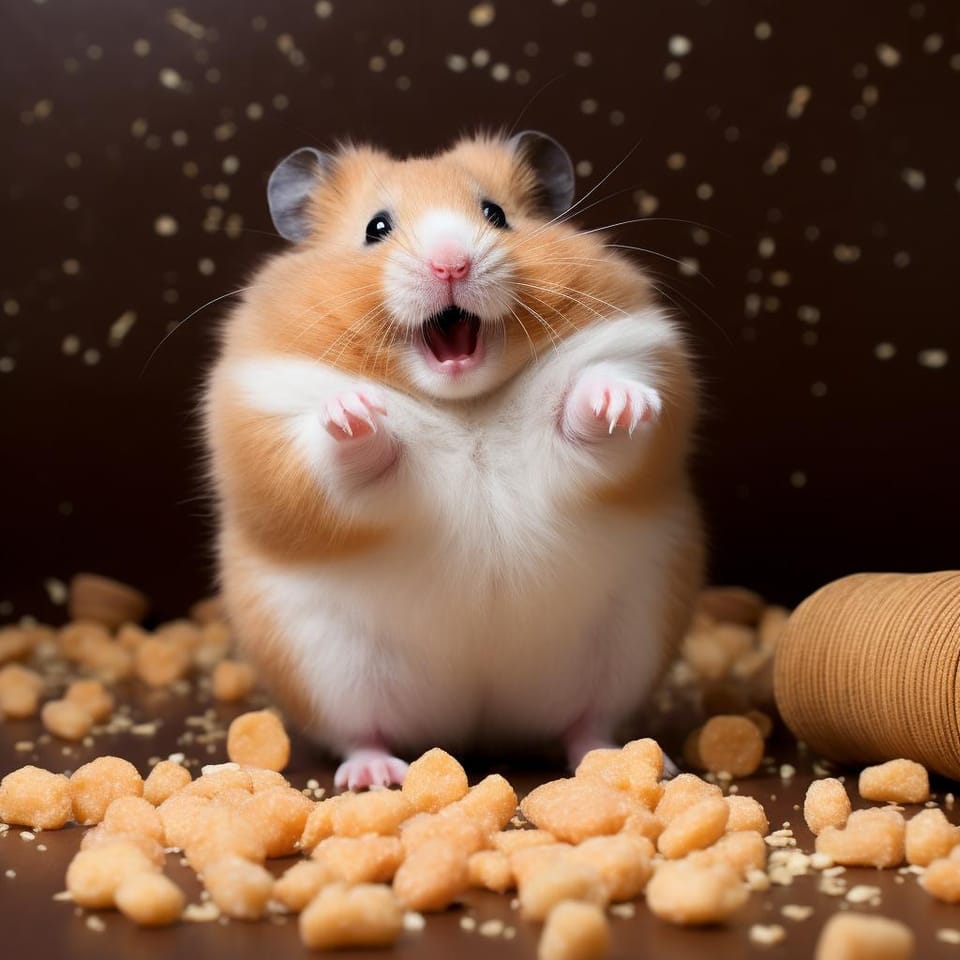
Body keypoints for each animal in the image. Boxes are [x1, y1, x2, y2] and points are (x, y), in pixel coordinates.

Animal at [204, 131, 703, 790]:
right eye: (376, 227)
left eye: (495, 213)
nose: (452, 265)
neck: (464, 403)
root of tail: (475, 731)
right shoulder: (267, 424)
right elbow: (334, 456)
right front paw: (354, 412)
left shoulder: (641, 359)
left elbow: (596, 412)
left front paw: (620, 402)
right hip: (325, 668)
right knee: (361, 733)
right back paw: (374, 776)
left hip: (627, 648)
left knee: (585, 727)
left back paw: (622, 759)